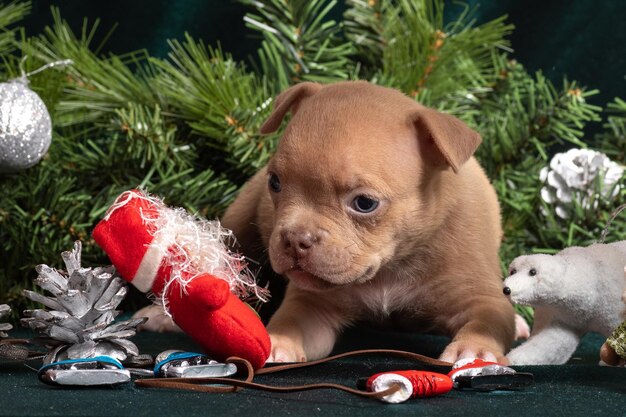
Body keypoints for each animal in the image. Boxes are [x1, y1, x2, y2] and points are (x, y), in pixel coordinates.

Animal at [222, 80, 516, 360]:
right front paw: (278, 341)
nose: (295, 239)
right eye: (275, 183)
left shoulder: (480, 297)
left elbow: (487, 320)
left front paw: (474, 349)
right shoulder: (313, 306)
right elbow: (292, 319)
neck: (390, 267)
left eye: (364, 203)